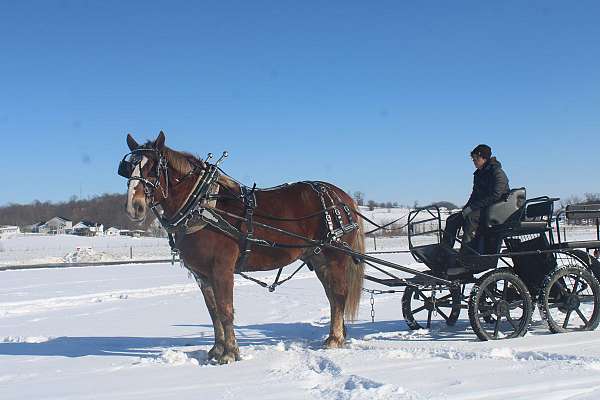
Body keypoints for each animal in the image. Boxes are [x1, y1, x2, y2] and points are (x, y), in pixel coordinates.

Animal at [120, 131, 366, 362]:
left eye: (153, 167)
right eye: (128, 167)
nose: (134, 207)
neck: (202, 205)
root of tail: (343, 199)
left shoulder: (222, 268)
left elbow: (226, 310)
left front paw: (230, 353)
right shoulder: (202, 275)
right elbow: (213, 312)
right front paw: (217, 349)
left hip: (335, 256)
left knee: (339, 294)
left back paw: (335, 339)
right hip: (318, 258)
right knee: (332, 296)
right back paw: (337, 334)